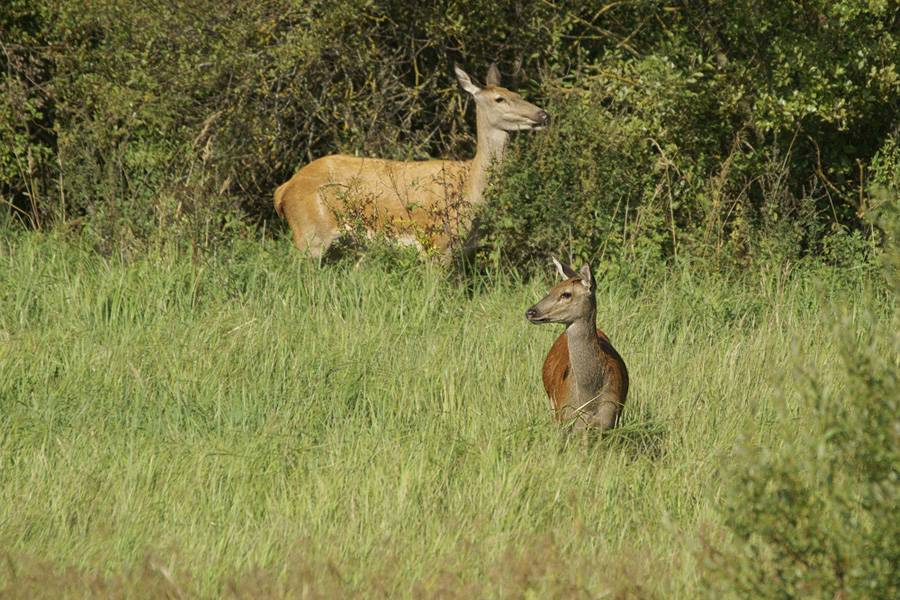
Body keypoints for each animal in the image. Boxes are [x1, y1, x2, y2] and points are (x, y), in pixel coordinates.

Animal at [270, 65, 548, 258]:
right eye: (500, 99)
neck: (470, 189)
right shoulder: (437, 243)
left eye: (516, 93)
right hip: (310, 234)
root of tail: (282, 190)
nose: (542, 114)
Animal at [524, 258, 628, 432]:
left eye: (566, 294)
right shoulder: (565, 417)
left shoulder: (609, 421)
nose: (530, 312)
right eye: (551, 289)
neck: (589, 400)